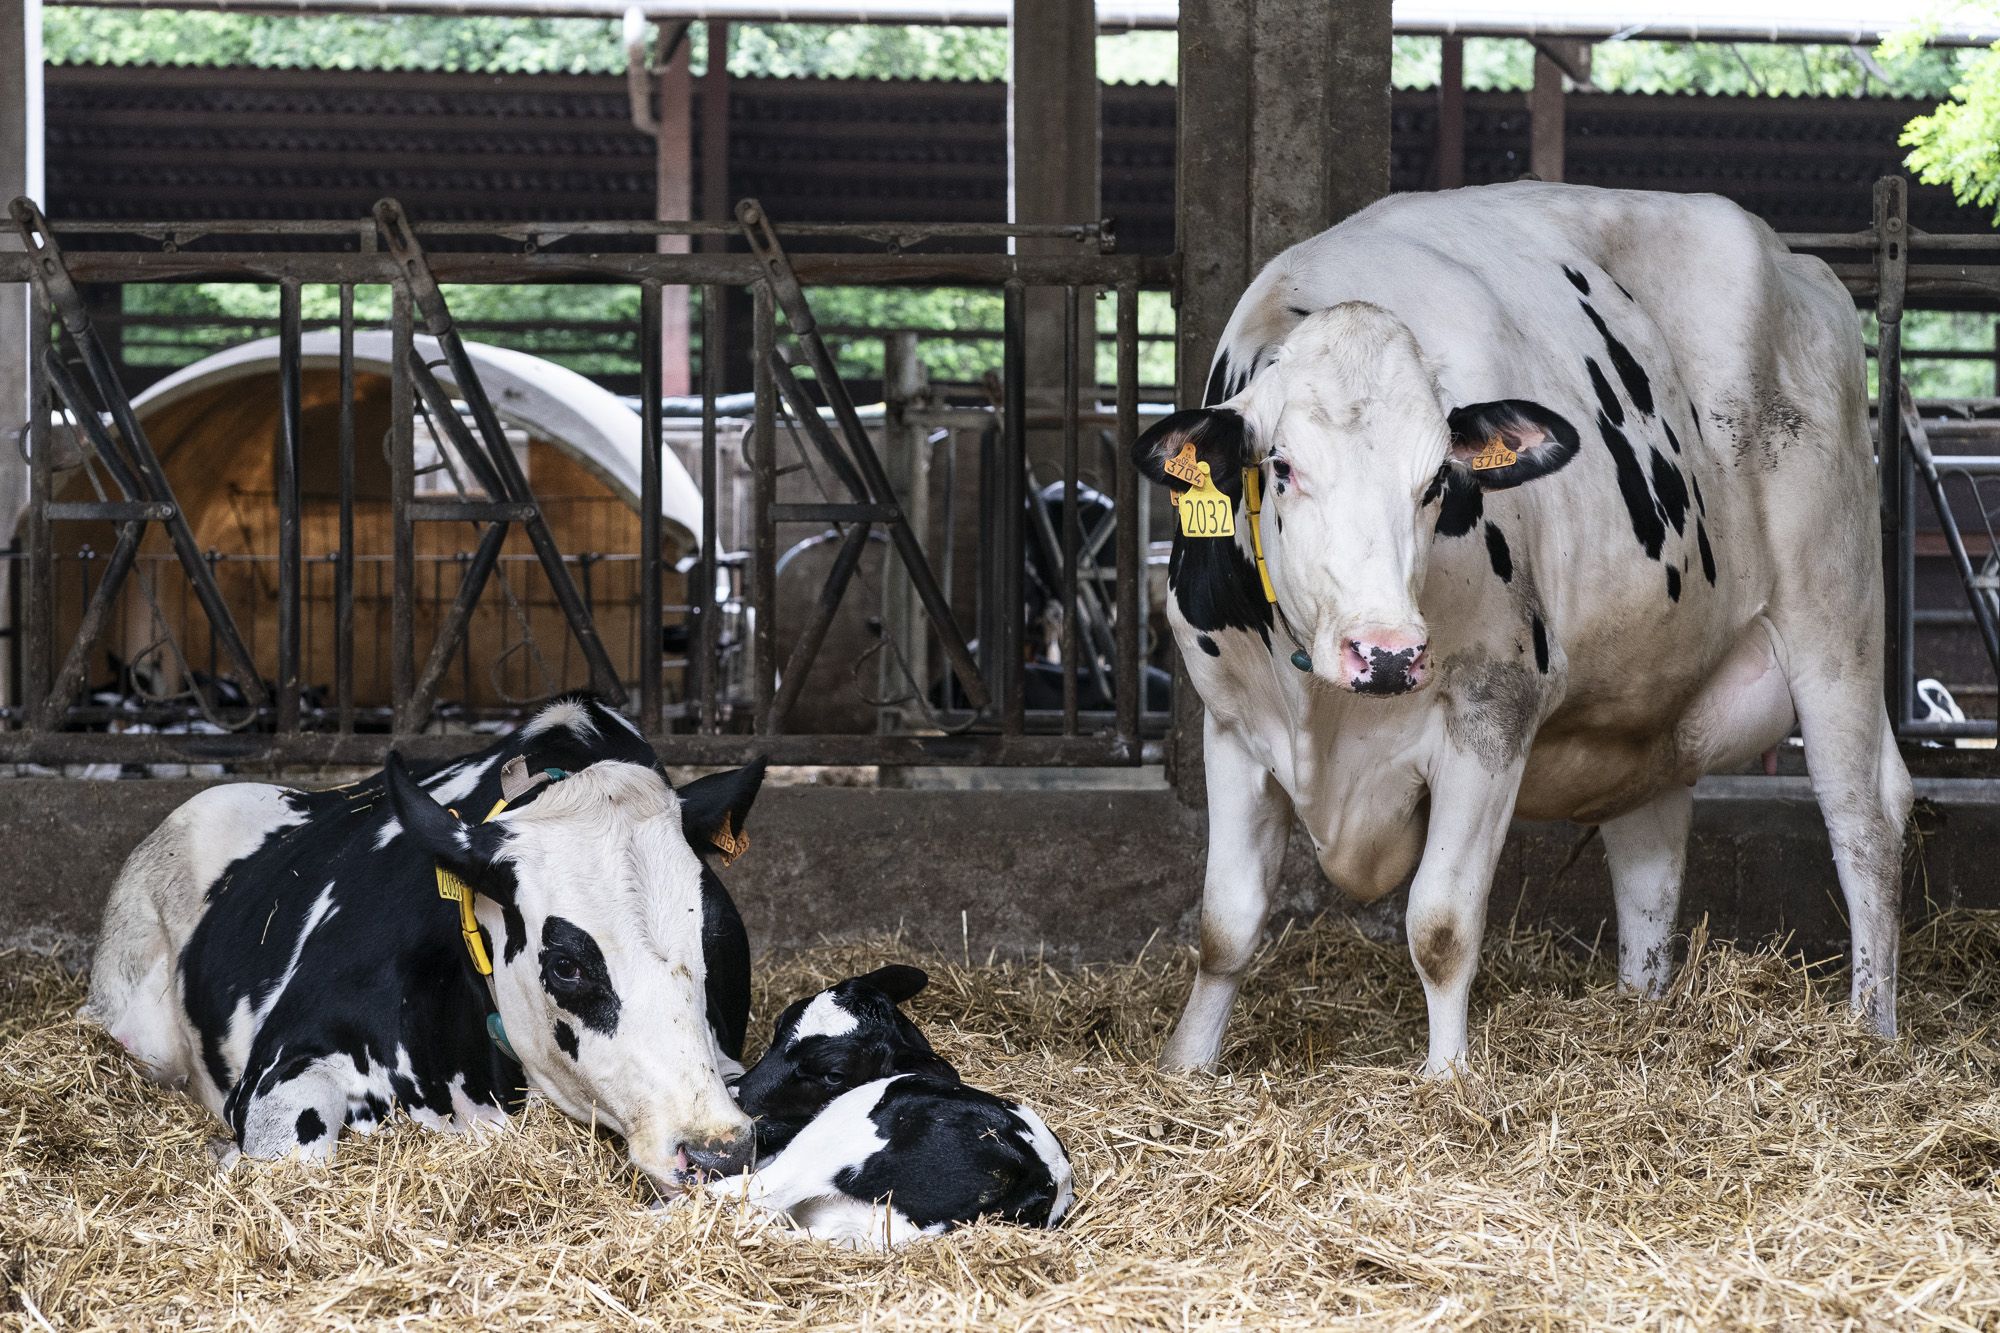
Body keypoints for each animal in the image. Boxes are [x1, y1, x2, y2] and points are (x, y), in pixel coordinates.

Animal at [1136, 179, 1912, 1072]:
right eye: (1284, 468)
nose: (1386, 653)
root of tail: (1798, 265)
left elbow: (1440, 925)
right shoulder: (1232, 722)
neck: (1327, 707)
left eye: (1438, 481)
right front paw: (1186, 1063)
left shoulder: (1494, 710)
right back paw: (1640, 1008)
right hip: (1646, 707)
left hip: (1836, 620)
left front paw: (1446, 1078)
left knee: (1866, 818)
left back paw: (1871, 1031)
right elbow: (1225, 924)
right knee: (1650, 859)